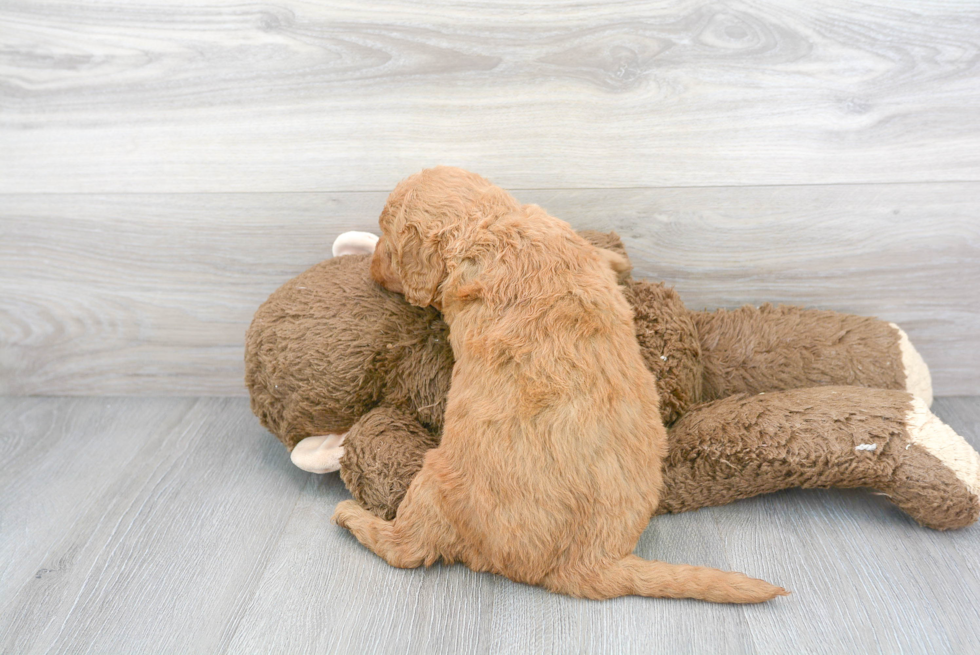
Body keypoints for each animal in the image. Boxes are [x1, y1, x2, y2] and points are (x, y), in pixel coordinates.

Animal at [332, 165, 788, 604]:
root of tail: (593, 563)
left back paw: (351, 515)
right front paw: (620, 263)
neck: (493, 222)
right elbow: (607, 258)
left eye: (388, 237)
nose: (370, 269)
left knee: (407, 548)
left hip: (435, 481)